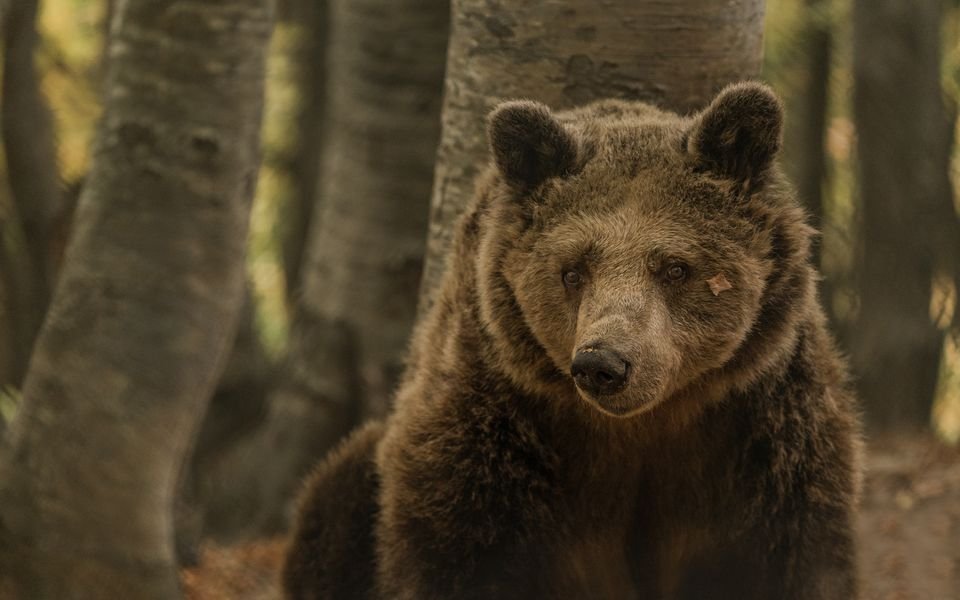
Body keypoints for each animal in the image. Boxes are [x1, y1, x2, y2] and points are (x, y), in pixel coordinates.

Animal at [283, 81, 863, 600]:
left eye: (675, 267)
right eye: (573, 270)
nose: (603, 363)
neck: (645, 425)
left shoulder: (763, 436)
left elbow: (792, 556)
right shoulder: (494, 430)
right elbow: (455, 546)